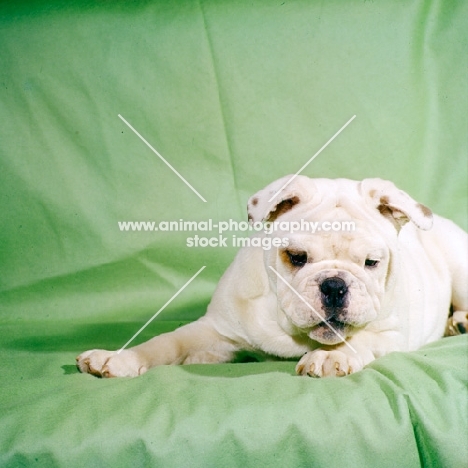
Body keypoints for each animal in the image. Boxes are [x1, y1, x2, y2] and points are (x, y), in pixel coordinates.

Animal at [77, 176, 468, 376]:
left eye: (372, 262)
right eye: (295, 258)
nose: (334, 285)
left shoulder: (392, 333)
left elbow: (360, 339)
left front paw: (329, 357)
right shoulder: (215, 331)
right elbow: (167, 342)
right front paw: (119, 358)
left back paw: (460, 322)